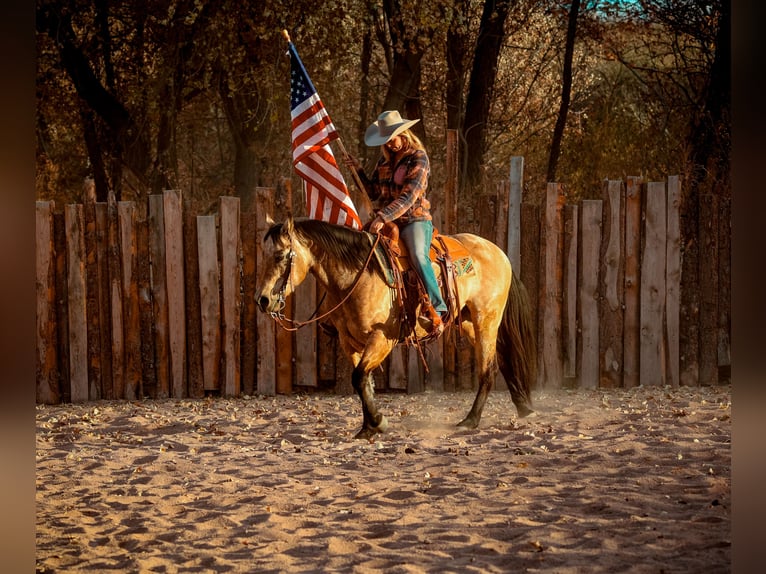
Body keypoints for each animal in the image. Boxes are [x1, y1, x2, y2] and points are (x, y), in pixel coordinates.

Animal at [255, 217, 536, 440]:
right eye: (263, 255)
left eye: (279, 256)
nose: (263, 300)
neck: (358, 275)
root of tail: (499, 253)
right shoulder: (349, 341)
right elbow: (364, 382)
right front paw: (368, 426)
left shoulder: (383, 338)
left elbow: (359, 377)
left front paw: (377, 422)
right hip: (469, 323)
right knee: (500, 360)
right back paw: (523, 406)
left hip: (486, 319)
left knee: (488, 369)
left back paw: (470, 420)